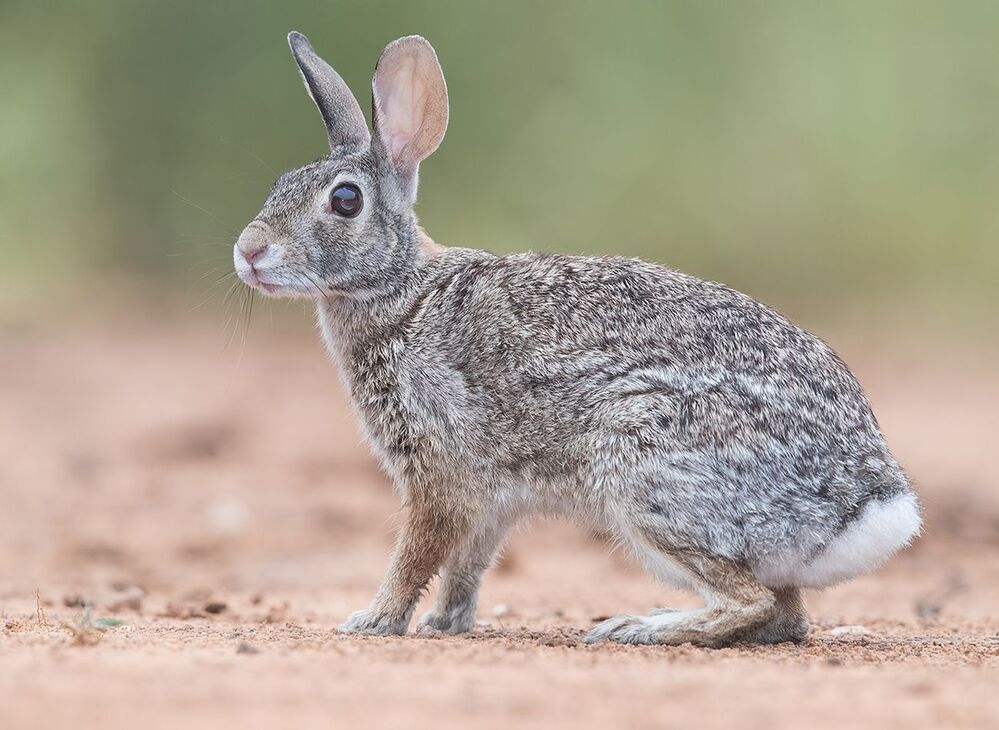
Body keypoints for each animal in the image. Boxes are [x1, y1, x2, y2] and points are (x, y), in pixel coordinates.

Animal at [232, 31, 922, 647]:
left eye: (346, 200)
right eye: (279, 183)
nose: (249, 251)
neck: (400, 287)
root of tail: (869, 507)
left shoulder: (440, 473)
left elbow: (417, 555)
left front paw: (372, 622)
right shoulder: (490, 500)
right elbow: (467, 566)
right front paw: (444, 624)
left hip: (642, 469)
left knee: (750, 601)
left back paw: (640, 628)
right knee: (785, 615)